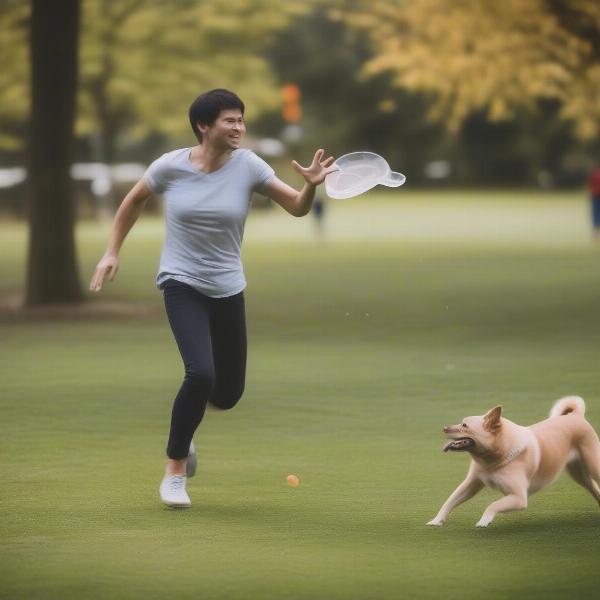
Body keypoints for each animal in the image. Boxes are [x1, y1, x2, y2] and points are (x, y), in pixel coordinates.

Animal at [426, 396, 600, 528]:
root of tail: (576, 415)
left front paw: (484, 521)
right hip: (579, 474)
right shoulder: (471, 484)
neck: (492, 459)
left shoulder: (519, 497)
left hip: (593, 466)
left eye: (464, 425)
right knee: (594, 488)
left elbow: (493, 504)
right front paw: (436, 521)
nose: (444, 428)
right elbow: (450, 500)